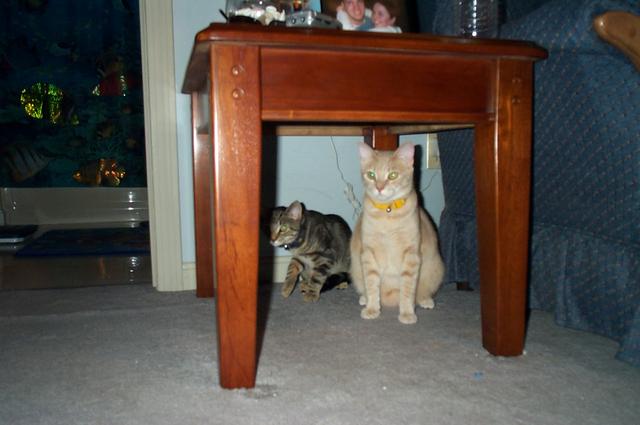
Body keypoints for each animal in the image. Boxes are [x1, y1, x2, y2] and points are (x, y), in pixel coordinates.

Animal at [350, 142, 445, 324]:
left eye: (393, 175)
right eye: (371, 175)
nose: (379, 188)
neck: (387, 214)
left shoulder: (411, 255)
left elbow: (407, 289)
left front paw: (407, 313)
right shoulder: (369, 254)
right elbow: (371, 285)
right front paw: (372, 308)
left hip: (435, 269)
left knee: (421, 293)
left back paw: (425, 300)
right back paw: (365, 299)